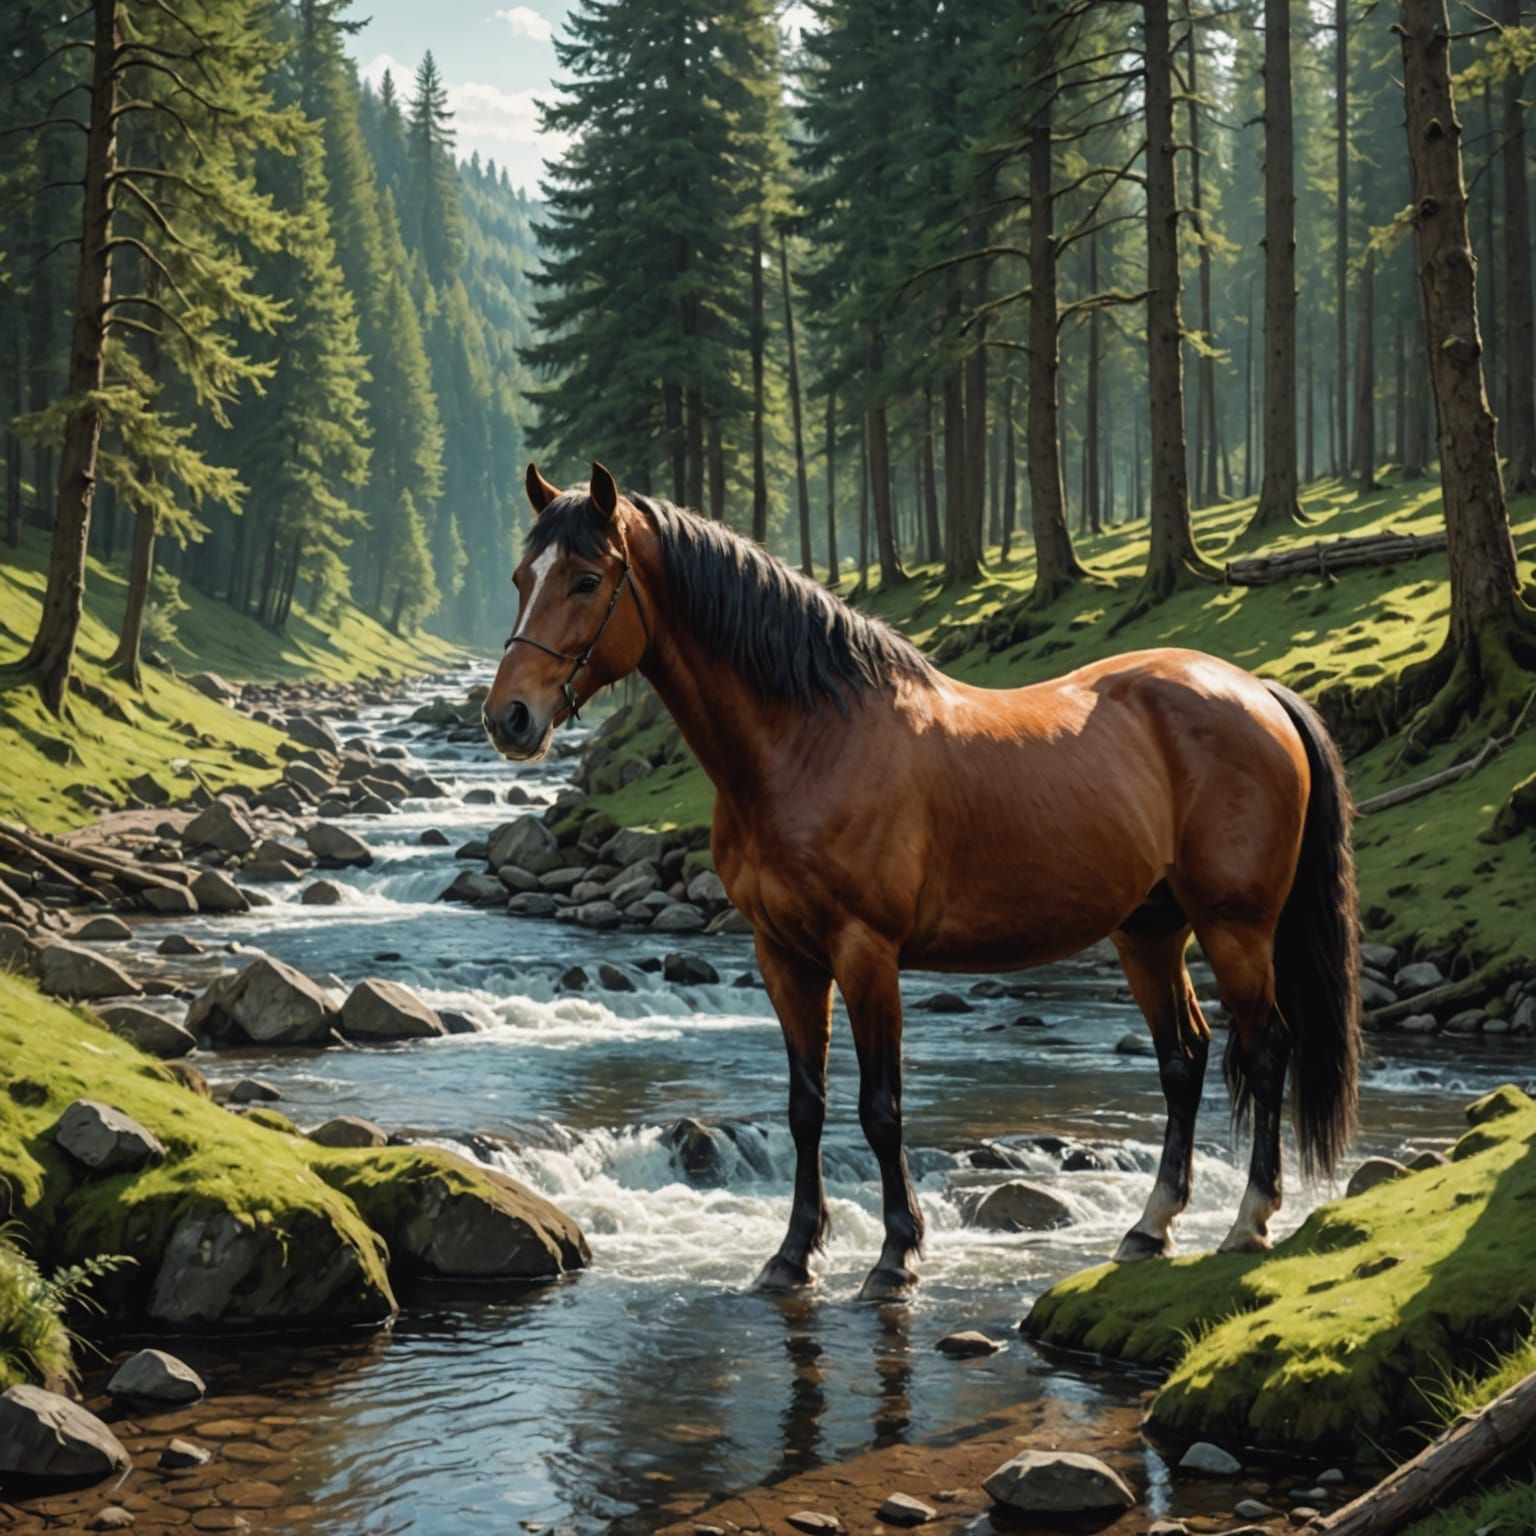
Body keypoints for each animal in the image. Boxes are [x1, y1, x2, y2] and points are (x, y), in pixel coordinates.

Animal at [484, 461, 1362, 1301]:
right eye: (522, 577)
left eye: (586, 580)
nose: (508, 718)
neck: (811, 739)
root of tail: (1256, 692)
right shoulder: (783, 956)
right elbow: (806, 1109)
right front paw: (791, 1257)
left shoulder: (866, 953)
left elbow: (881, 1110)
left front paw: (894, 1259)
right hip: (1150, 930)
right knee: (1183, 1060)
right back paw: (1149, 1229)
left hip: (1235, 926)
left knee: (1266, 1051)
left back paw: (1248, 1222)